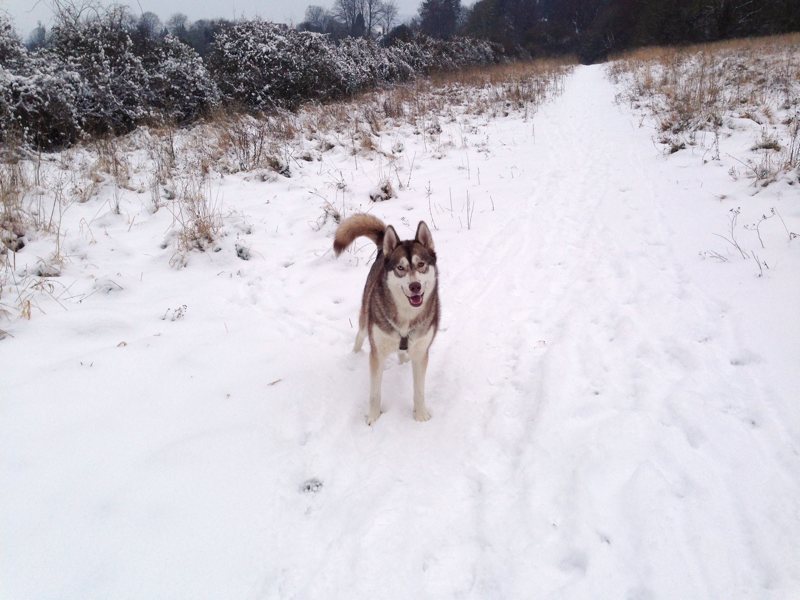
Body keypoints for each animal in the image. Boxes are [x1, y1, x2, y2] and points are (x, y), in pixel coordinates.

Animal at [332, 213, 440, 424]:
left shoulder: (421, 352)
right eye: (400, 267)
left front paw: (420, 415)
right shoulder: (377, 353)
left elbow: (419, 391)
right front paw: (373, 418)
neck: (406, 316)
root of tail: (383, 250)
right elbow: (375, 393)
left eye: (421, 264)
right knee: (360, 335)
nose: (415, 286)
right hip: (366, 318)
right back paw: (354, 355)